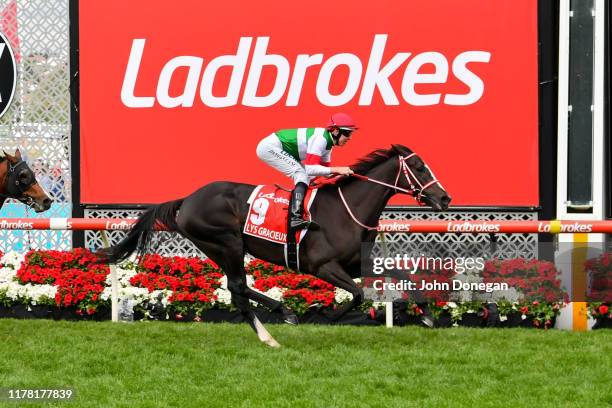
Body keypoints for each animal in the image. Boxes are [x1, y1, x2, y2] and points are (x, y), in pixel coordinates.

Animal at [103, 145, 450, 346]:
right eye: (419, 168)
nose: (445, 198)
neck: (346, 210)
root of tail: (187, 199)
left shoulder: (355, 263)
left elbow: (400, 274)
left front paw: (427, 315)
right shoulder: (323, 266)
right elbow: (357, 295)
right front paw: (326, 317)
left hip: (219, 248)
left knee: (237, 292)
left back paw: (269, 335)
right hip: (226, 242)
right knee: (238, 287)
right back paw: (284, 314)